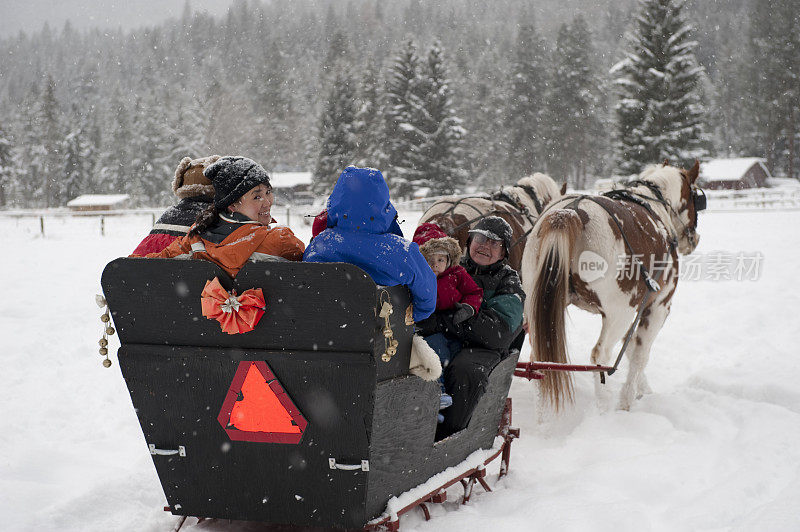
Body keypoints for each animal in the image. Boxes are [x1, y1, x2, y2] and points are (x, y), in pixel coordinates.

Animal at [524, 162, 708, 412]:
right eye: (695, 197)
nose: (694, 239)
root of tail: (570, 212)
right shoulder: (657, 307)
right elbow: (639, 354)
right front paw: (627, 400)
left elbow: (628, 349)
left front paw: (642, 389)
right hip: (619, 313)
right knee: (599, 356)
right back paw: (603, 406)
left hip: (537, 307)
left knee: (539, 357)